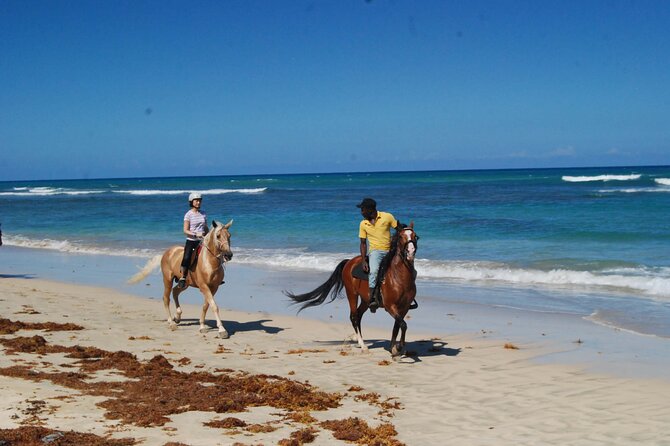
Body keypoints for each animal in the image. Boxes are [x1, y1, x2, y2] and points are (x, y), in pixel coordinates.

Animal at [284, 223, 420, 358]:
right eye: (401, 236)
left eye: (415, 236)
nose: (411, 252)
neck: (398, 277)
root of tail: (349, 261)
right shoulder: (390, 306)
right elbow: (403, 325)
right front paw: (399, 347)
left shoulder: (404, 307)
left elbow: (398, 326)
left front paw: (394, 348)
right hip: (352, 294)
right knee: (354, 316)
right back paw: (363, 346)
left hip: (365, 300)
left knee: (359, 316)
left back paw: (361, 343)